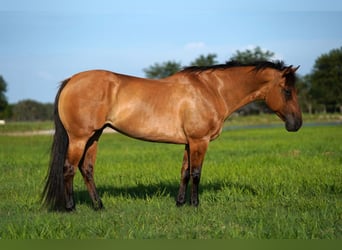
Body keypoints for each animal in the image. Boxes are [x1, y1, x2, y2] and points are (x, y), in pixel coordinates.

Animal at [42, 60, 302, 211]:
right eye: (287, 91)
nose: (296, 124)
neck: (211, 90)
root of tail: (71, 80)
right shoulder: (199, 141)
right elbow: (196, 173)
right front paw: (195, 205)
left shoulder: (189, 142)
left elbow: (185, 172)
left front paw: (180, 203)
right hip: (79, 138)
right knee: (68, 168)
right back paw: (71, 207)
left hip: (94, 137)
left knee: (87, 169)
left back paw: (98, 206)